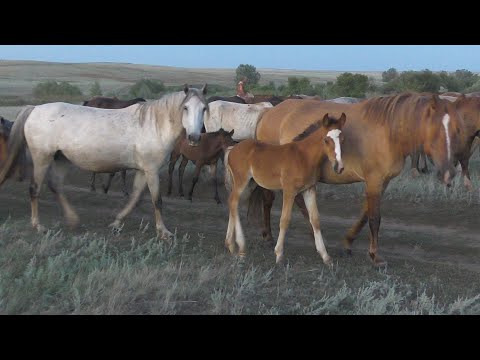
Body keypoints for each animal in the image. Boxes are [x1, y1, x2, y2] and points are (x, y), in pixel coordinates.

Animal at [0, 84, 208, 236]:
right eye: (185, 108)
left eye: (204, 108)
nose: (194, 138)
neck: (153, 125)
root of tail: (34, 109)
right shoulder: (151, 170)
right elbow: (157, 200)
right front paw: (164, 232)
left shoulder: (143, 170)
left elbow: (135, 197)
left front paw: (117, 222)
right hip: (42, 157)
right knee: (35, 188)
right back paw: (38, 225)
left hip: (61, 159)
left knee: (56, 185)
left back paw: (73, 220)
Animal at [225, 114, 344, 266]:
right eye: (326, 140)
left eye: (342, 139)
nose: (338, 167)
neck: (304, 157)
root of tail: (232, 149)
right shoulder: (289, 190)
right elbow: (285, 220)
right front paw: (279, 255)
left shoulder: (309, 189)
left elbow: (315, 219)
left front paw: (326, 257)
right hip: (242, 181)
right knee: (233, 202)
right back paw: (241, 247)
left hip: (250, 184)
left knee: (233, 203)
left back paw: (230, 245)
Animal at [253, 93, 466, 268]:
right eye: (436, 128)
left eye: (457, 128)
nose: (449, 172)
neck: (388, 132)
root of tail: (268, 113)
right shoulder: (374, 180)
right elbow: (374, 218)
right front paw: (375, 257)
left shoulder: (382, 182)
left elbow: (365, 213)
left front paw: (348, 242)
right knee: (269, 200)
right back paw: (269, 237)